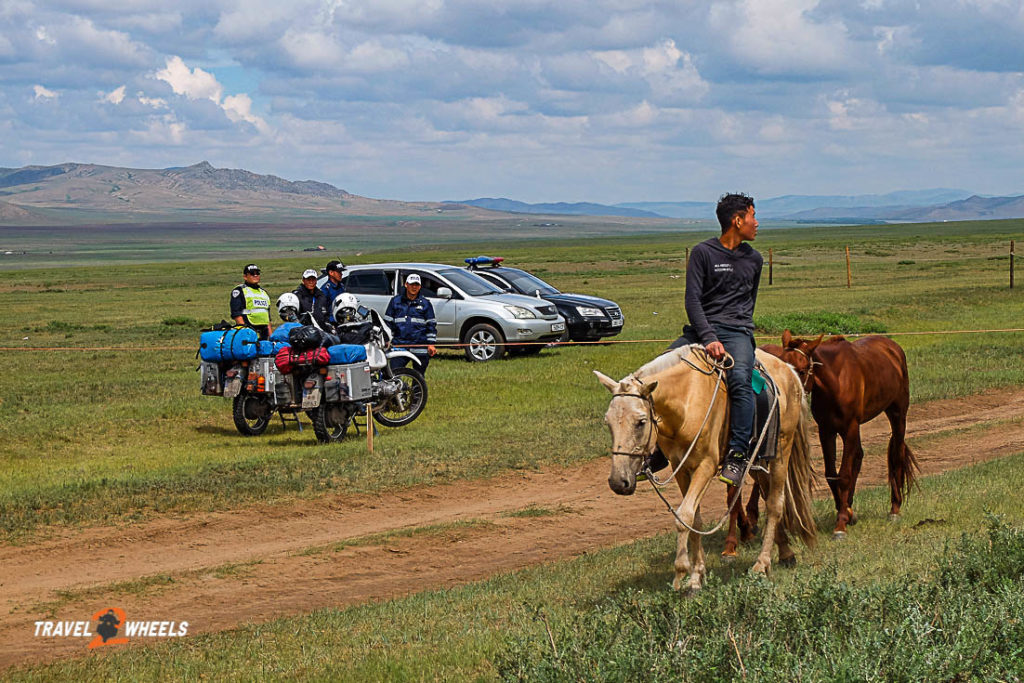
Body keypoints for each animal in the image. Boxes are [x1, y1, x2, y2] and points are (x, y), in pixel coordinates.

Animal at [593, 348, 815, 593]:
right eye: (608, 422)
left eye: (641, 422)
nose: (618, 481)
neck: (687, 400)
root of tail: (790, 371)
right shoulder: (681, 468)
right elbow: (694, 519)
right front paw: (697, 575)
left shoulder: (705, 466)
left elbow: (683, 516)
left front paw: (681, 573)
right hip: (757, 463)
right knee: (768, 497)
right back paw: (785, 553)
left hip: (781, 452)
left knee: (775, 504)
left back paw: (761, 565)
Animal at [774, 331, 921, 540]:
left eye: (801, 371)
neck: (836, 381)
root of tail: (893, 348)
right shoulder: (826, 430)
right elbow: (831, 474)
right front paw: (847, 511)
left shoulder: (849, 428)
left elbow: (844, 475)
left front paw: (841, 523)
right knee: (859, 457)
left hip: (897, 414)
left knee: (897, 455)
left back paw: (895, 508)